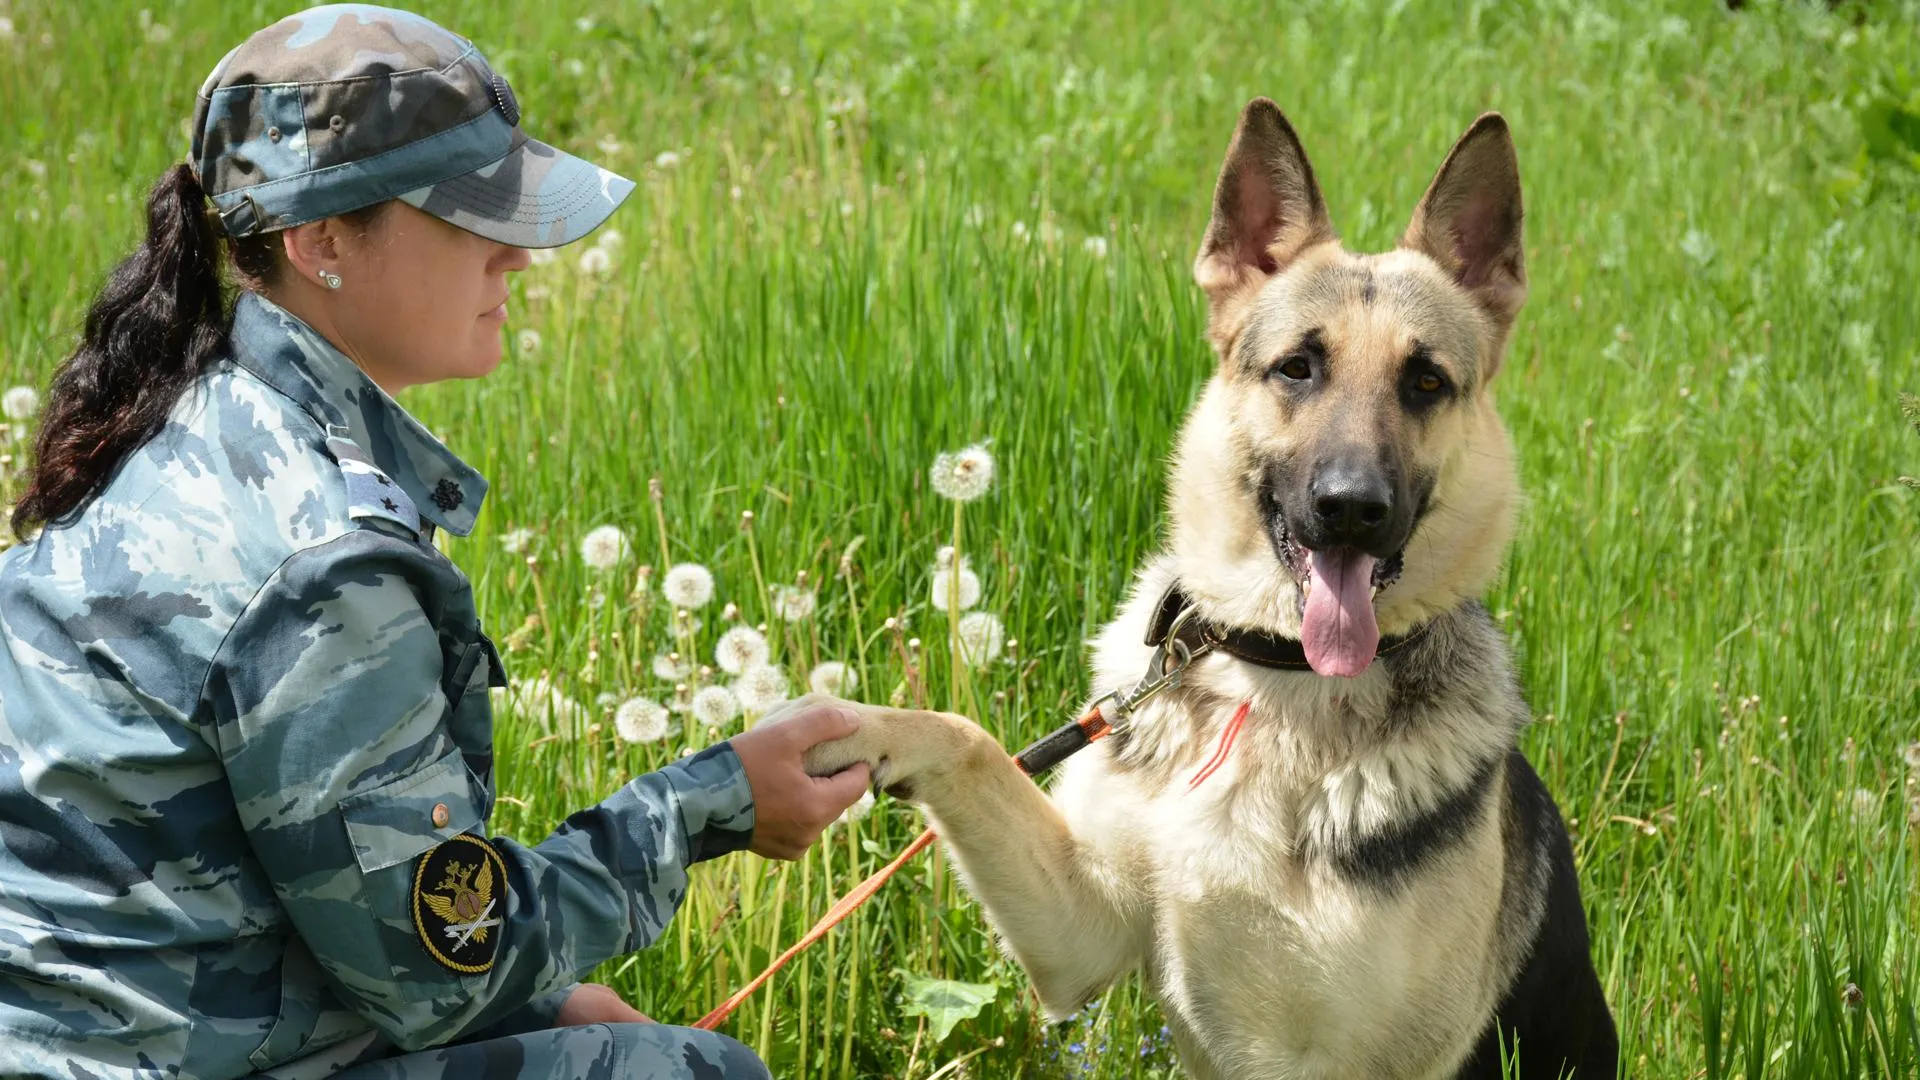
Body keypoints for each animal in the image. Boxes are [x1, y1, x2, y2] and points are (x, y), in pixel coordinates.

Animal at [798, 100, 1620, 1076]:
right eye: (1298, 367)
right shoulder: (1082, 934)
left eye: (1425, 382)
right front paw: (849, 730)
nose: (1351, 509)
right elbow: (967, 739)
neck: (1270, 681)